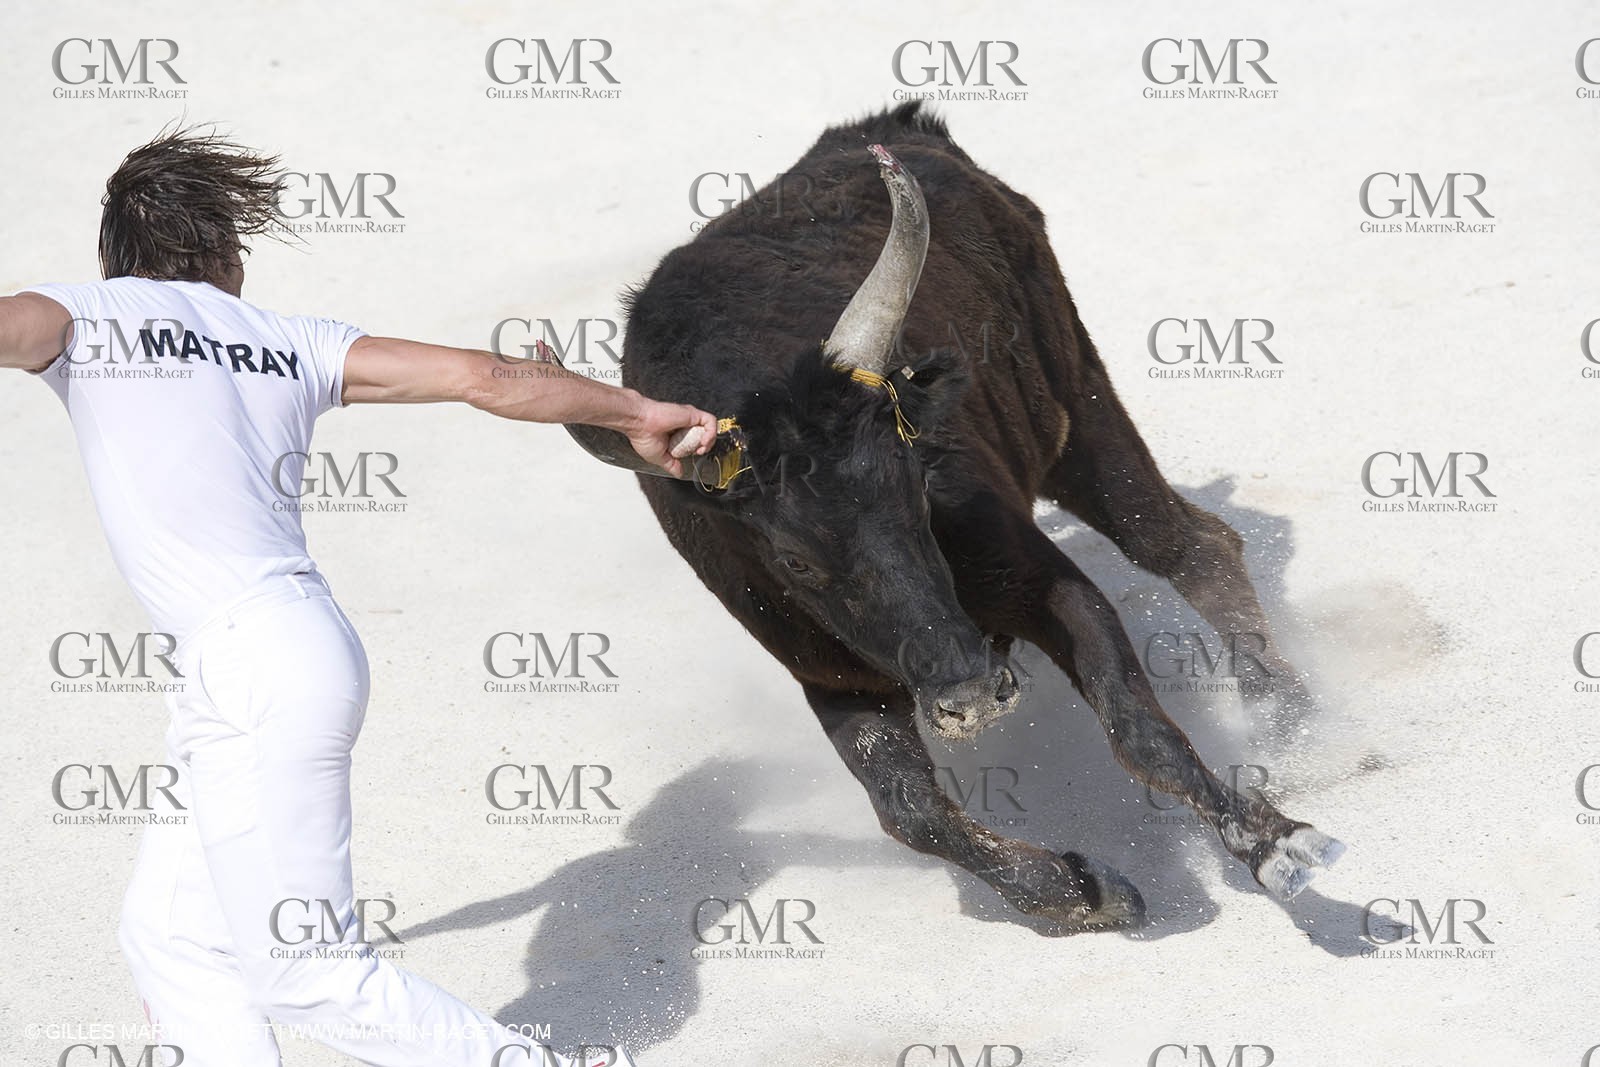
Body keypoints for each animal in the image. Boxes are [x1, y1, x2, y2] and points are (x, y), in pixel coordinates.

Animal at [557, 103, 1342, 930]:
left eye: (915, 486)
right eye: (793, 558)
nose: (970, 697)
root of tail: (896, 125)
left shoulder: (1041, 579)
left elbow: (1136, 722)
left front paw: (1272, 840)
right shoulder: (829, 676)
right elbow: (911, 809)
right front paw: (1080, 891)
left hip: (1080, 406)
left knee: (1190, 544)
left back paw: (1285, 711)